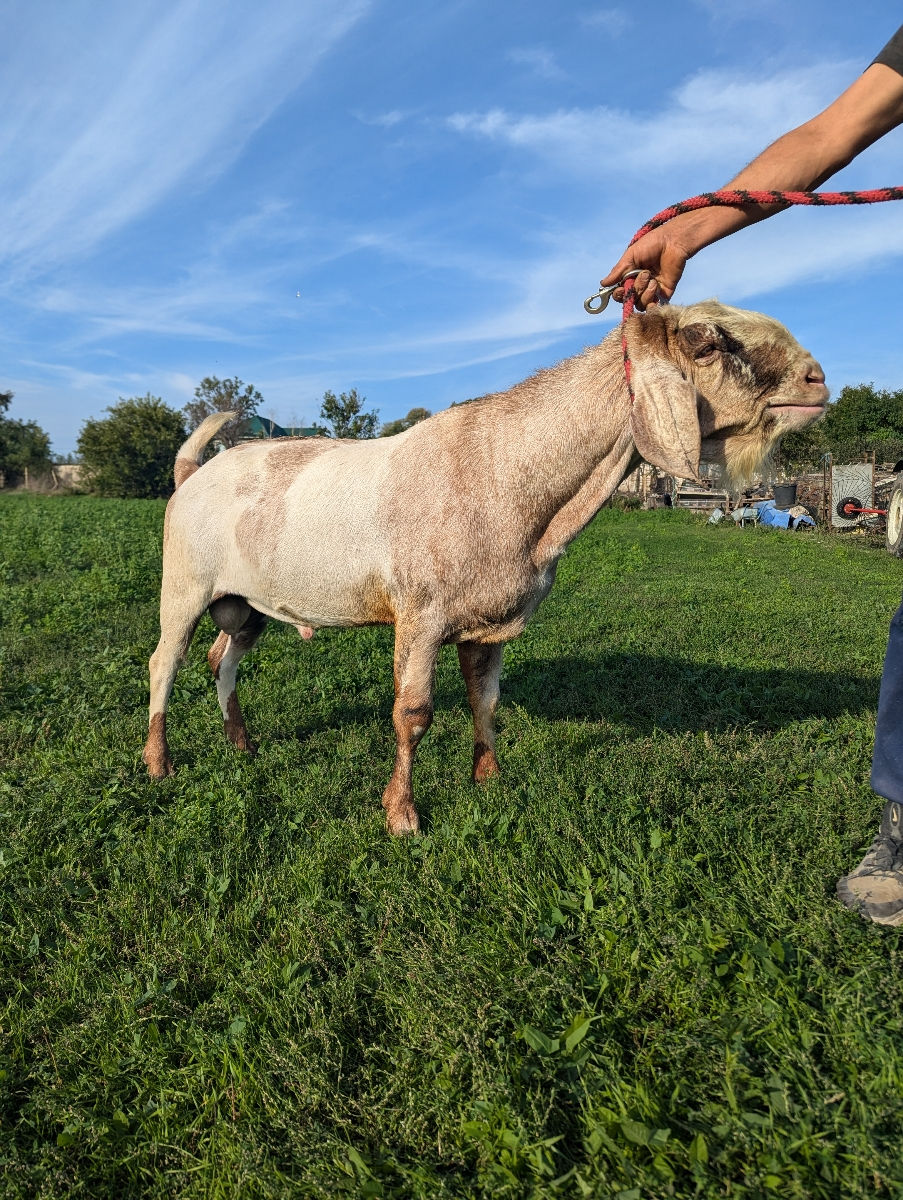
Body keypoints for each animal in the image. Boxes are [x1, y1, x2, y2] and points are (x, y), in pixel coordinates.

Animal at [144, 300, 830, 830]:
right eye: (705, 341)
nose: (816, 379)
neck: (505, 474)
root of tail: (192, 473)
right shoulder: (420, 616)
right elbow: (413, 714)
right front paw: (403, 815)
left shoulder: (488, 622)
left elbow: (487, 699)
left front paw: (489, 777)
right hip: (184, 584)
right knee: (164, 662)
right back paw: (158, 763)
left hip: (246, 604)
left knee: (222, 658)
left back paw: (242, 742)